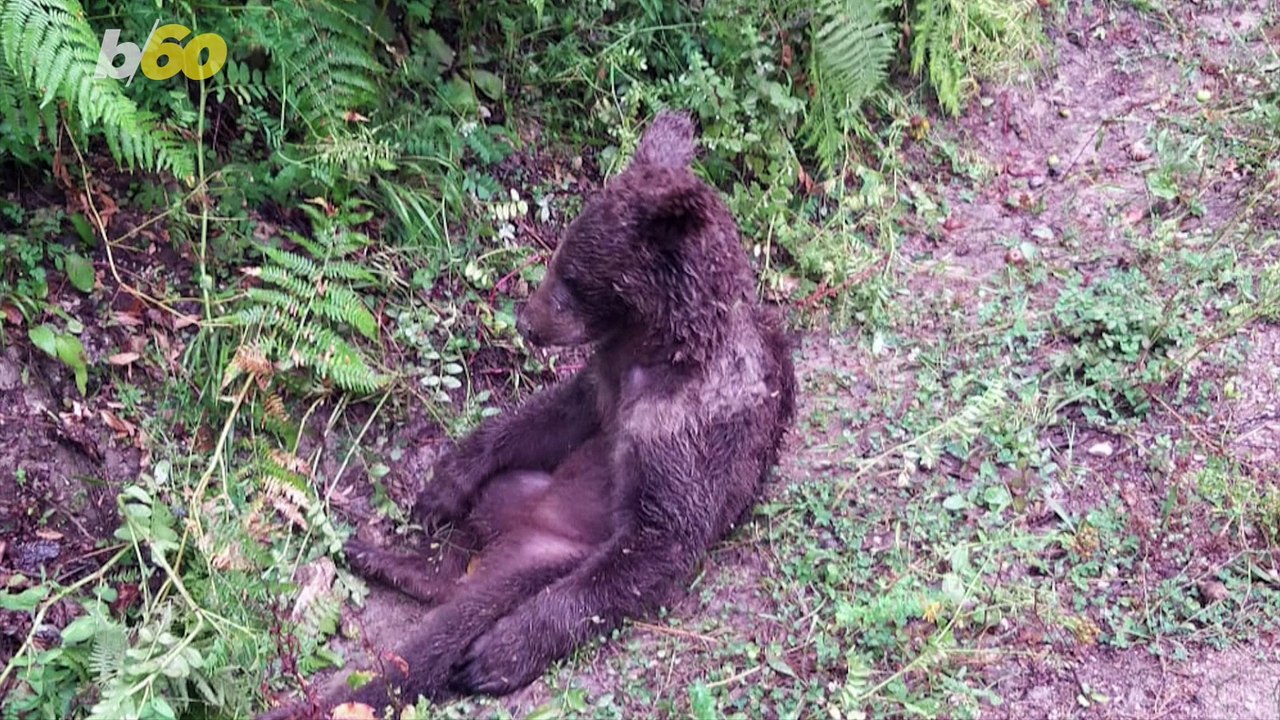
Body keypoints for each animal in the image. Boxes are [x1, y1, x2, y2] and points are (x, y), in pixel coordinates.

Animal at [257, 110, 797, 719]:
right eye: (558, 259)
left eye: (573, 281)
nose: (526, 322)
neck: (656, 350)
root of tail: (514, 538)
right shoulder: (603, 383)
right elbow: (541, 418)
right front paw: (441, 486)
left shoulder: (688, 435)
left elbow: (658, 542)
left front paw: (494, 655)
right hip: (515, 491)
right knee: (463, 551)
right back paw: (378, 551)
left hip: (550, 552)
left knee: (480, 598)